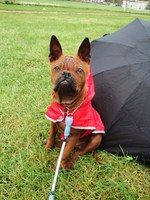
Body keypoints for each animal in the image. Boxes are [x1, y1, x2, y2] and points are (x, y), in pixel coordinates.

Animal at [45, 35, 105, 169]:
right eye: (57, 68)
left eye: (79, 70)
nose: (66, 74)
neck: (67, 106)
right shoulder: (53, 122)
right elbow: (51, 136)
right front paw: (47, 147)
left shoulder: (73, 136)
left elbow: (65, 153)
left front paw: (58, 166)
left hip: (96, 138)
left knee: (77, 153)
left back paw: (69, 164)